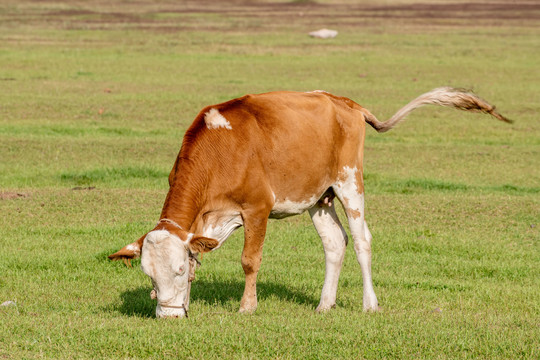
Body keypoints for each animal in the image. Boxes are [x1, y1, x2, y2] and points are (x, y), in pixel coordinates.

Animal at [108, 87, 510, 318]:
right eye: (149, 274)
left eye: (176, 271)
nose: (169, 317)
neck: (220, 152)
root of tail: (347, 103)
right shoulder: (205, 222)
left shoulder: (257, 210)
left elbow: (250, 261)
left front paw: (247, 307)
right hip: (320, 196)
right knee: (335, 244)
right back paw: (324, 304)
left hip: (349, 183)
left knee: (361, 241)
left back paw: (370, 305)